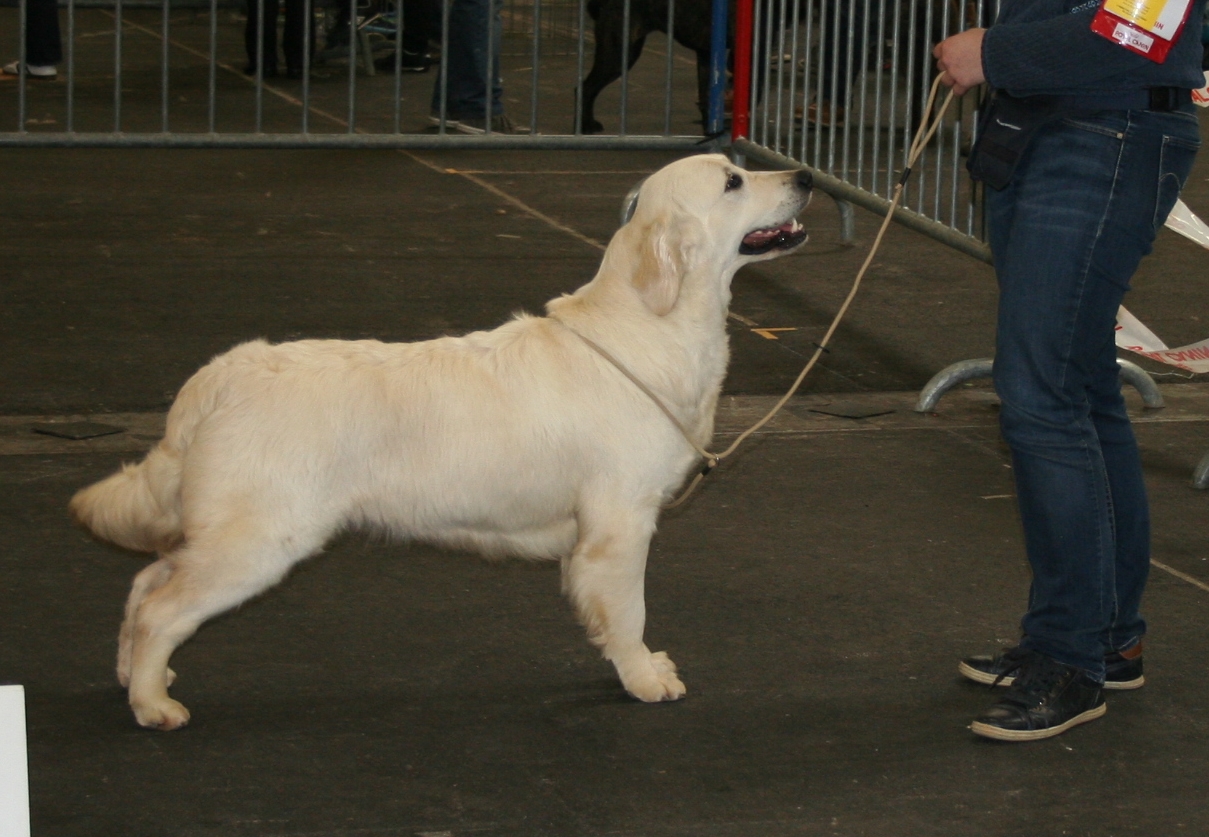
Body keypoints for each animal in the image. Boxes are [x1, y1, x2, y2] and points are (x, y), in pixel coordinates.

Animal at [68, 153, 812, 730]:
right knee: (162, 606)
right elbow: (628, 611)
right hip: (259, 537)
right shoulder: (619, 524)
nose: (805, 174)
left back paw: (135, 676)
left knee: (145, 581)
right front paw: (645, 679)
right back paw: (153, 705)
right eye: (733, 181)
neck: (652, 324)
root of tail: (219, 375)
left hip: (228, 530)